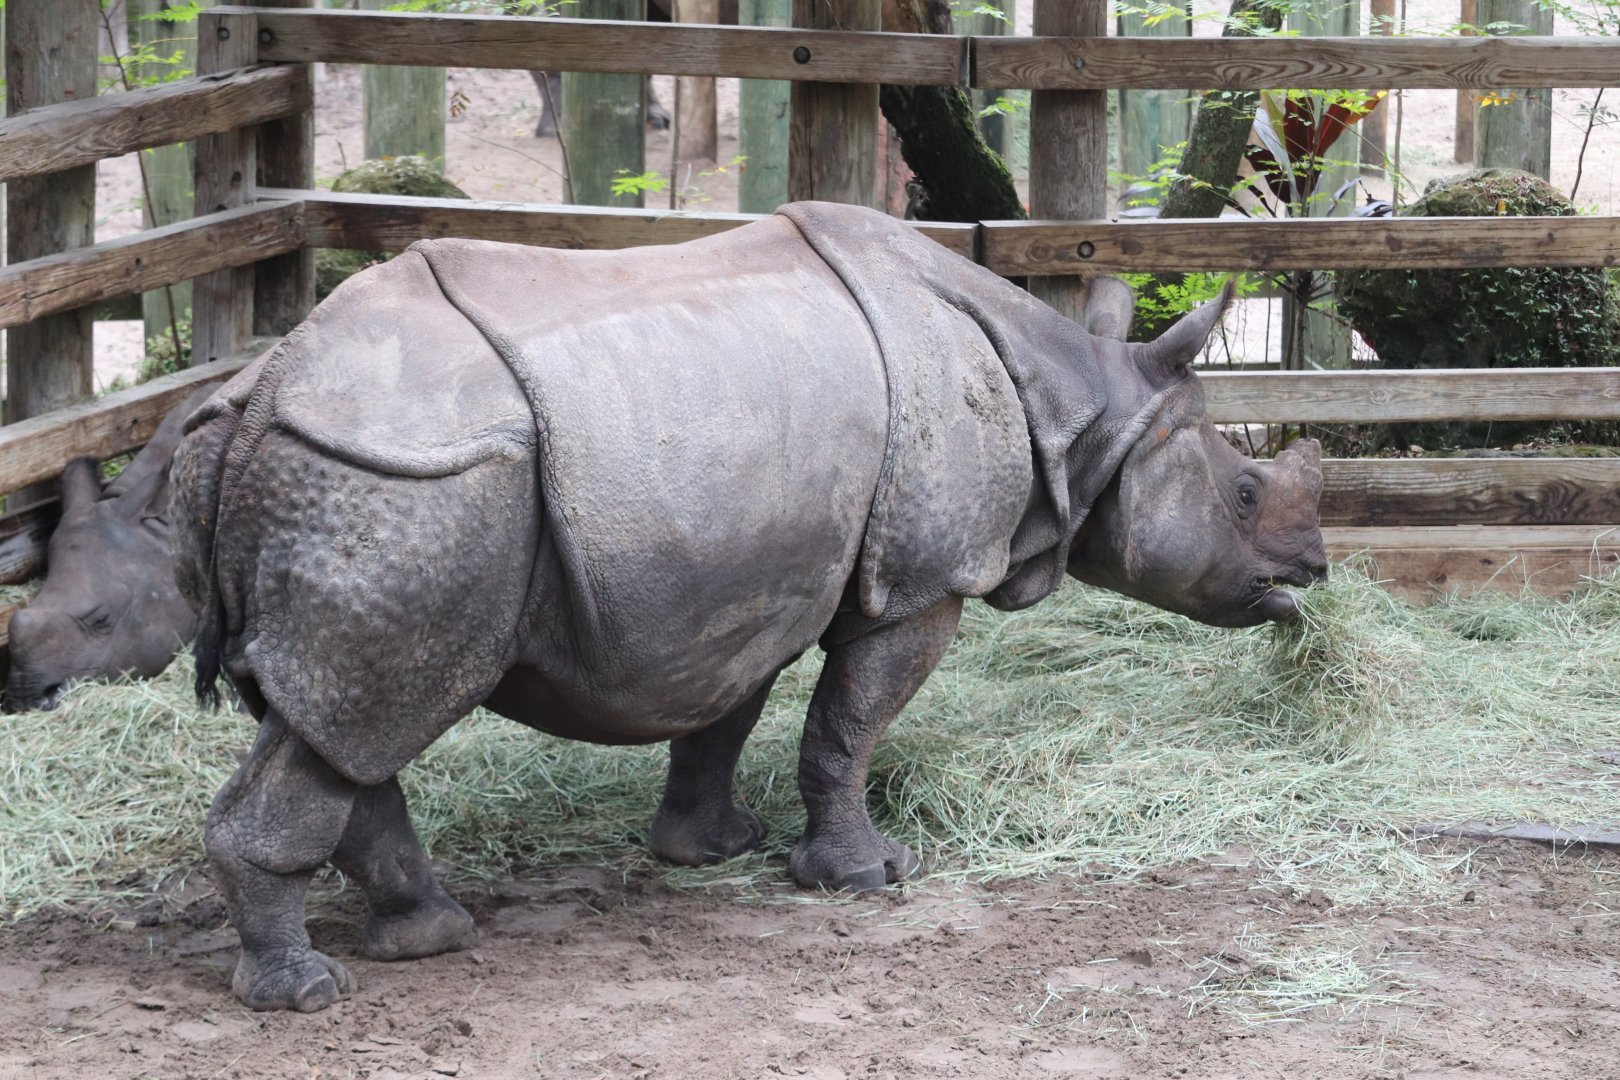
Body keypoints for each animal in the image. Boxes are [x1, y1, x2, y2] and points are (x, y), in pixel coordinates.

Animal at [172, 202, 1325, 1013]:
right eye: (1243, 493)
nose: (1310, 573)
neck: (1085, 411)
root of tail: (255, 401)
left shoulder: (755, 576)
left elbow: (728, 712)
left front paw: (711, 850)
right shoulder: (918, 584)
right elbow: (849, 725)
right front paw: (869, 877)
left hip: (375, 492)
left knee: (342, 721)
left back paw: (430, 936)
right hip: (406, 486)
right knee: (372, 712)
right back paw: (308, 994)